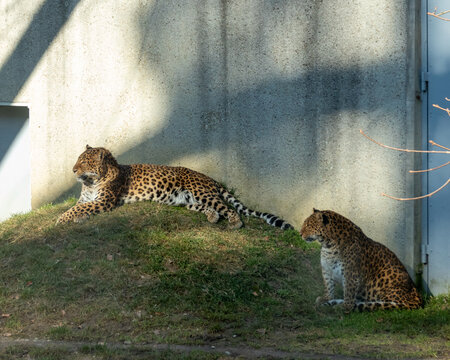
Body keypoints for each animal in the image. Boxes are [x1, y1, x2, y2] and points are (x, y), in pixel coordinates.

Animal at [56, 145, 294, 229]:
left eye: (84, 162)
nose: (73, 170)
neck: (91, 182)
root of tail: (210, 179)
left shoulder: (104, 201)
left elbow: (76, 209)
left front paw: (60, 220)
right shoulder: (86, 199)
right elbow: (76, 207)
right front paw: (73, 217)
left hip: (201, 191)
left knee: (227, 208)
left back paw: (235, 223)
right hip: (188, 200)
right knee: (211, 208)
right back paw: (212, 217)